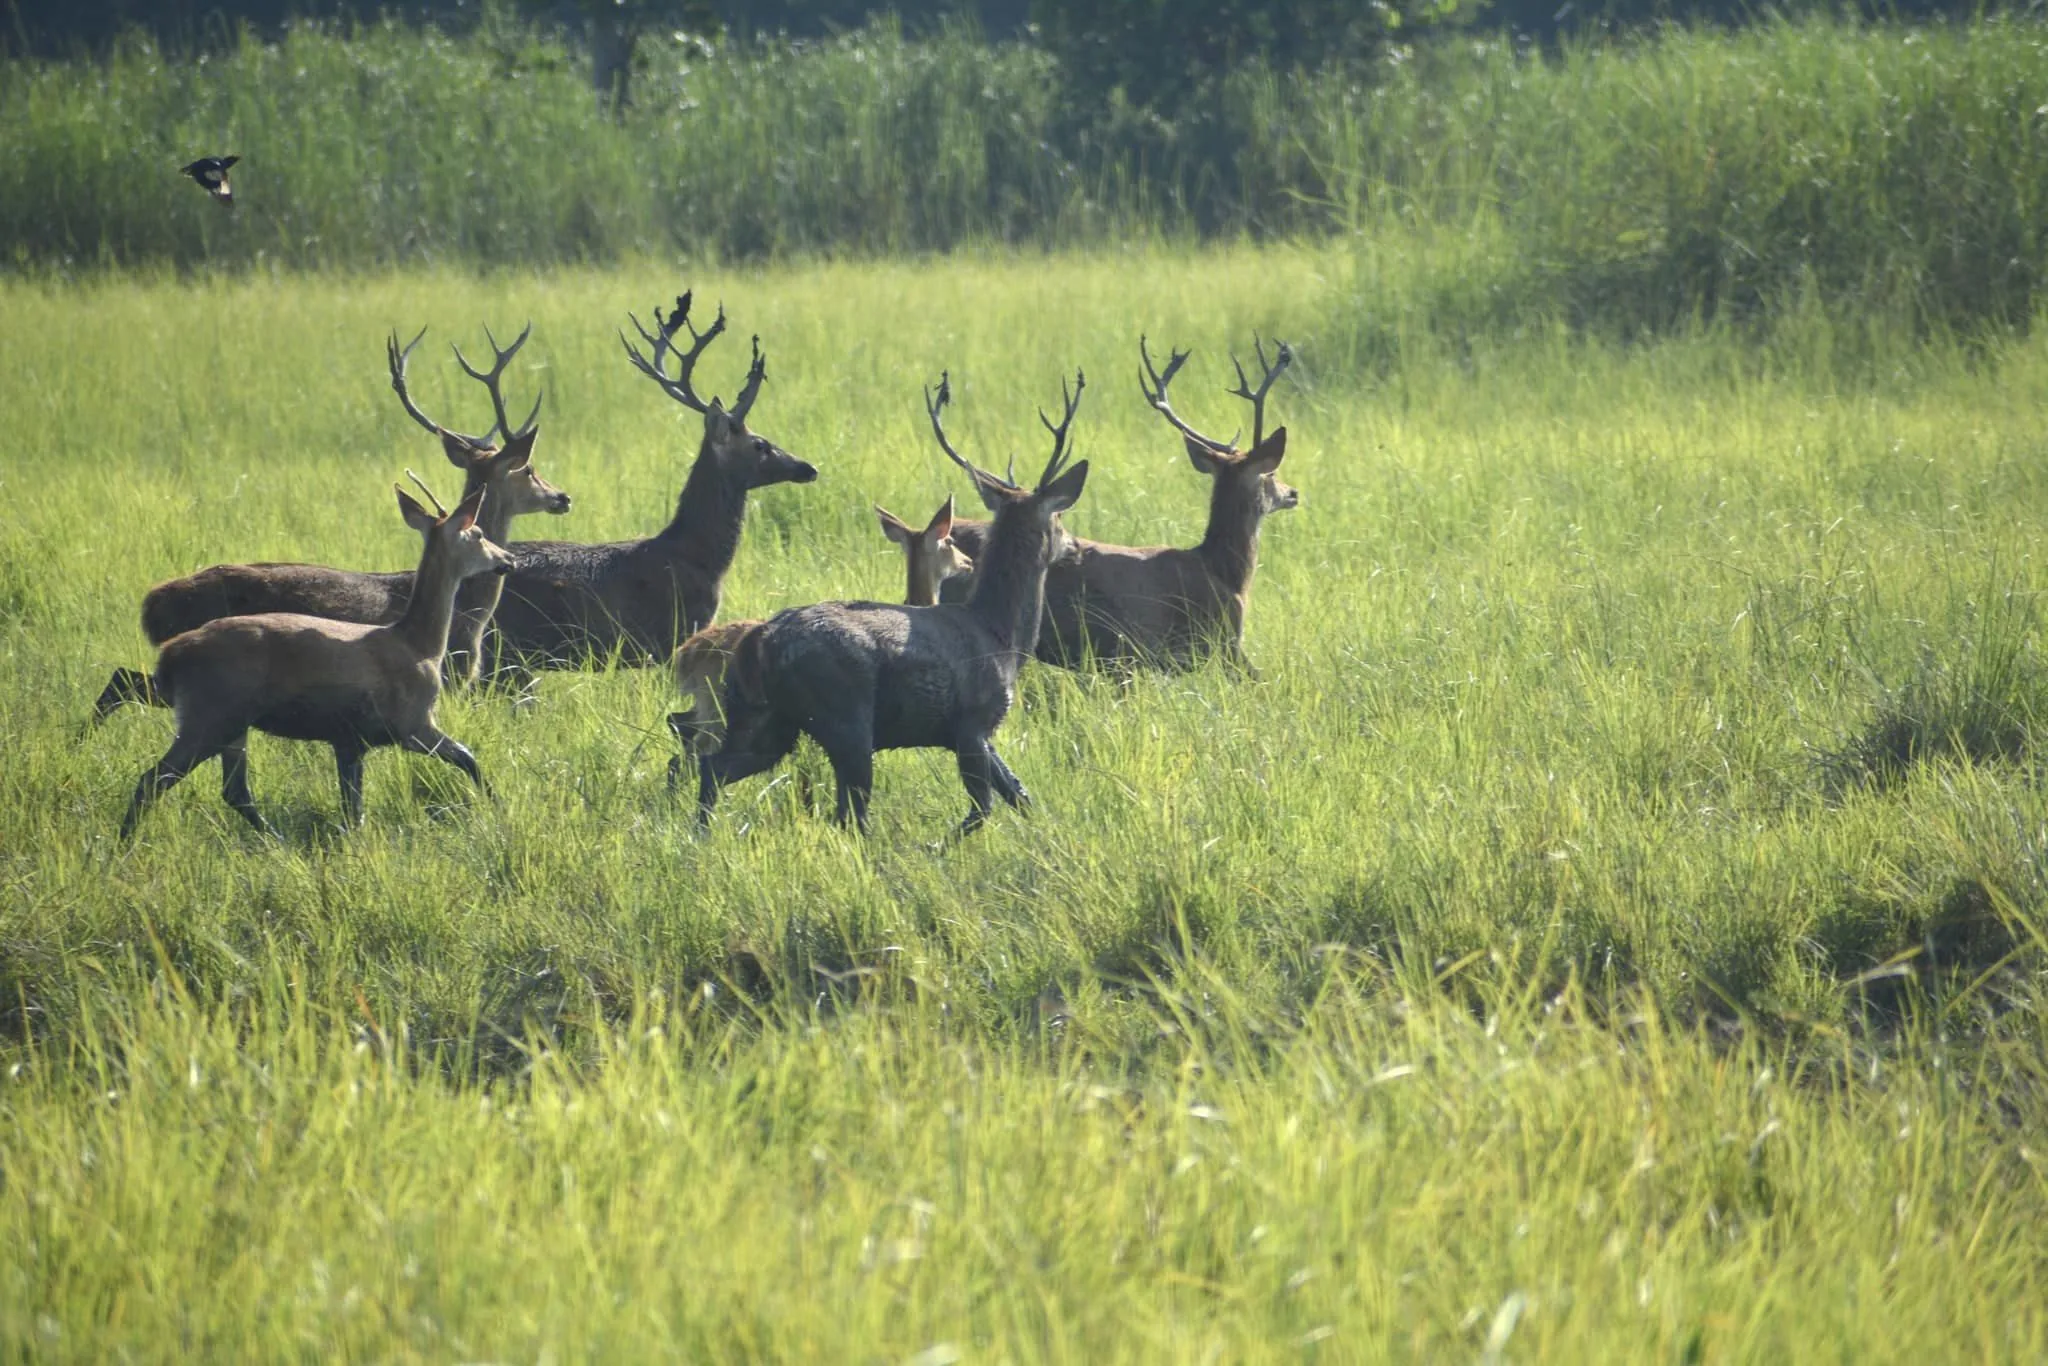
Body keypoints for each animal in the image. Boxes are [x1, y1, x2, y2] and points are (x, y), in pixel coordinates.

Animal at [90, 324, 570, 720]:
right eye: (529, 470)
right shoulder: (448, 675)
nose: (562, 497)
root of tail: (153, 604)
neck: (468, 613)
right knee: (124, 683)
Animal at [118, 478, 516, 839]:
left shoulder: (349, 739)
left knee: (233, 790)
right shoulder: (411, 723)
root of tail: (171, 655)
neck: (420, 644)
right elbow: (469, 756)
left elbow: (353, 809)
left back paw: (275, 842)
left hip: (229, 722)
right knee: (153, 779)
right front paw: (498, 807)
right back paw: (125, 844)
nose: (507, 559)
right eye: (478, 534)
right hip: (210, 714)